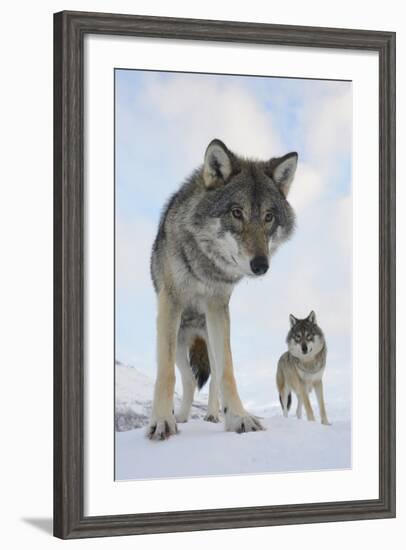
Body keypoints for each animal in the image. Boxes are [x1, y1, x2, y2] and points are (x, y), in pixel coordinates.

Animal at [148, 140, 298, 442]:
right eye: (236, 212)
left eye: (268, 217)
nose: (261, 265)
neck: (205, 265)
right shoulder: (170, 303)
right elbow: (165, 373)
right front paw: (161, 421)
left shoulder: (218, 307)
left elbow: (227, 372)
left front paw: (239, 418)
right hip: (180, 342)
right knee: (188, 379)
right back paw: (180, 417)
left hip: (209, 338)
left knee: (214, 376)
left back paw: (213, 415)